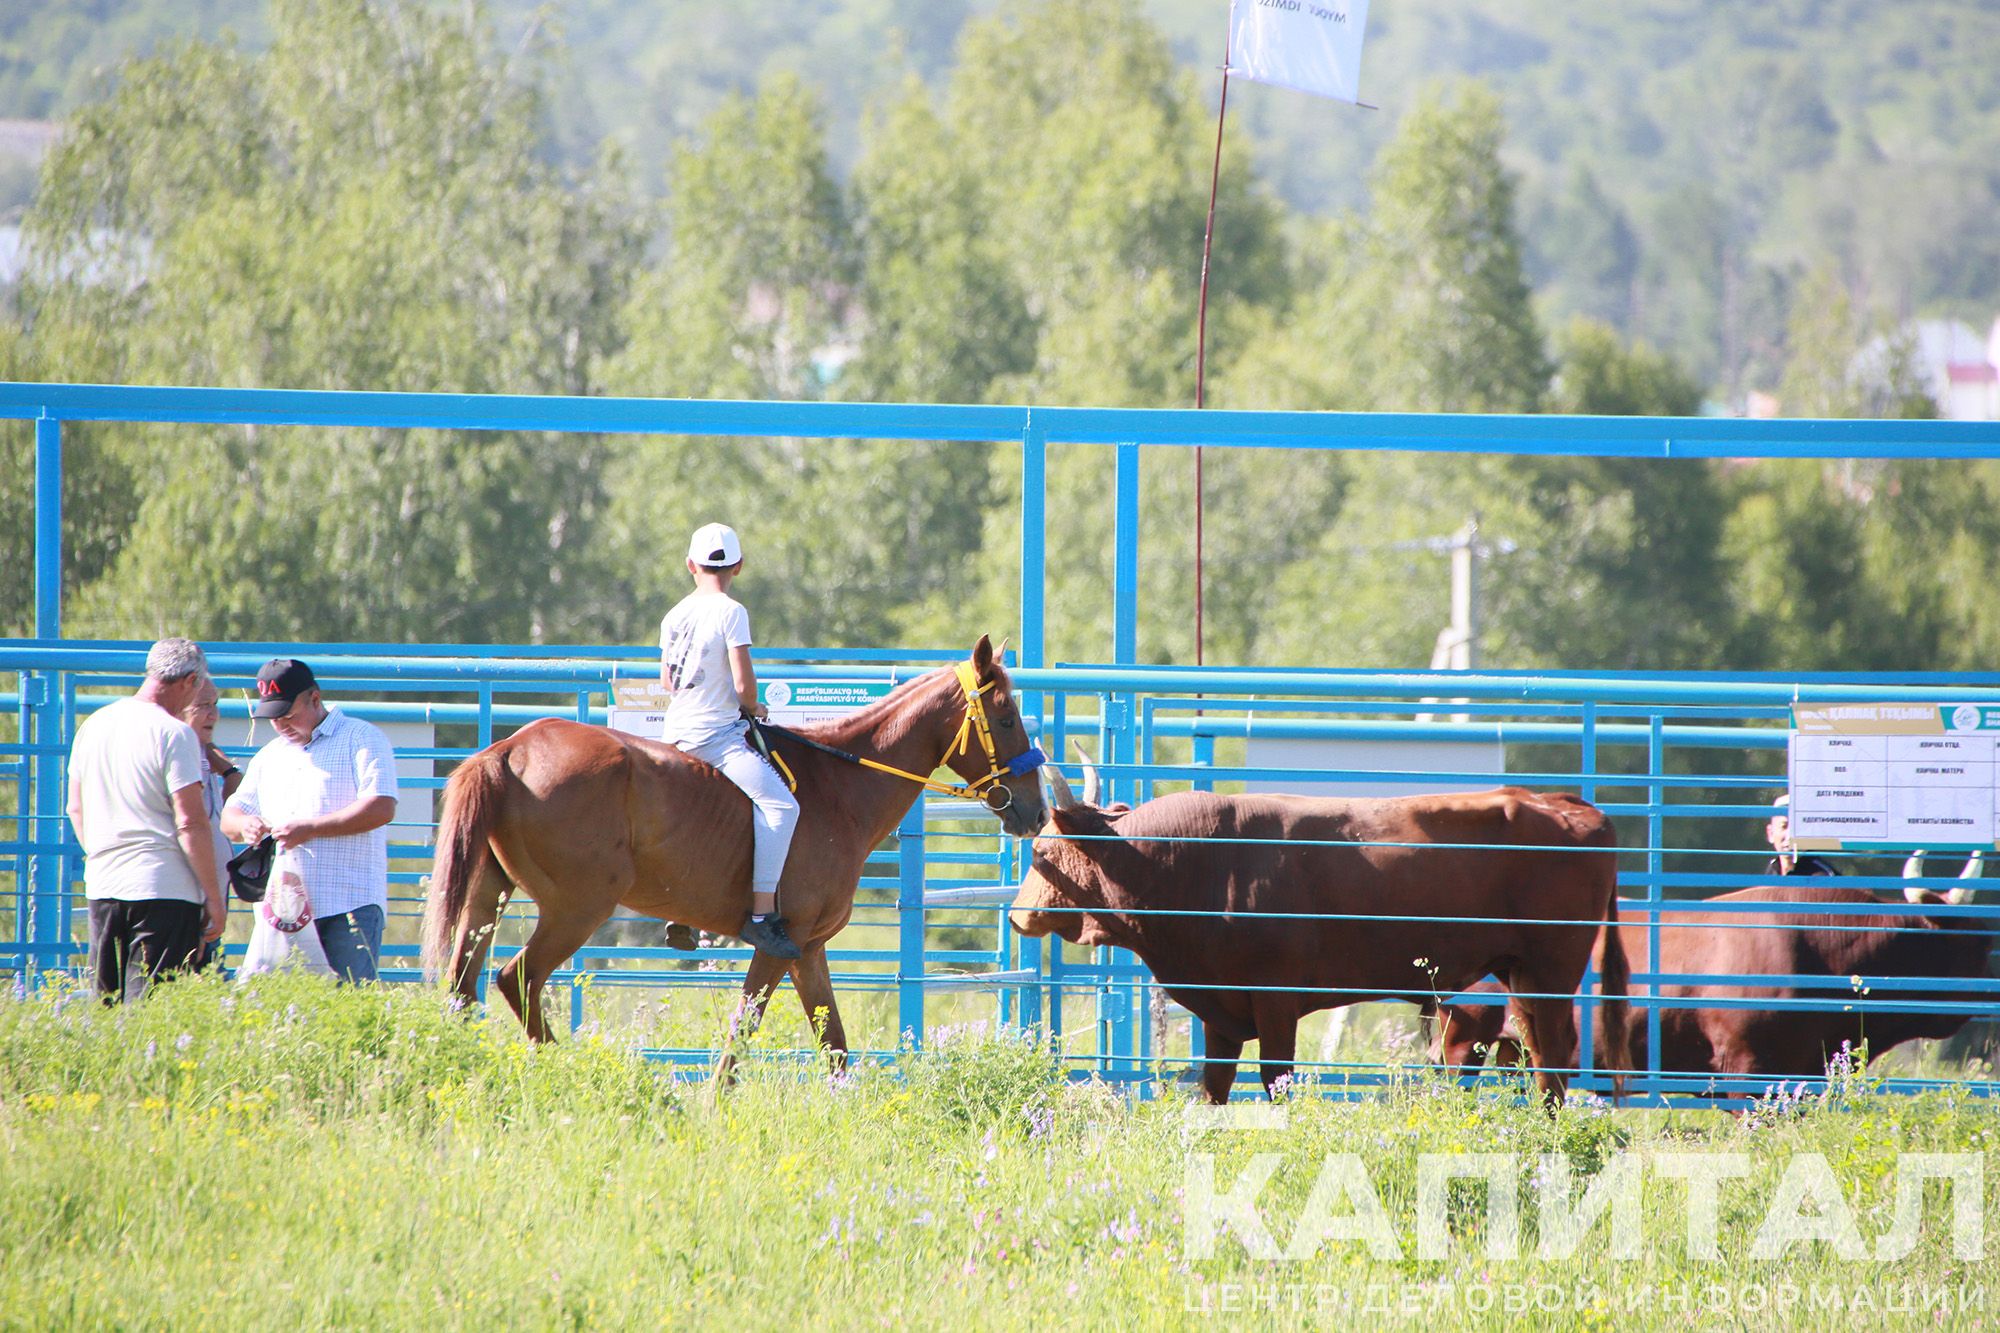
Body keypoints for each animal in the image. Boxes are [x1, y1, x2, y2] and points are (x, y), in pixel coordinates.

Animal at [422, 632, 1048, 1072]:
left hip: (489, 896)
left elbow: (834, 1046)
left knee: (463, 986)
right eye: (1006, 717)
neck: (840, 787)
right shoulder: (778, 944)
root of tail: (509, 749)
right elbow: (742, 1033)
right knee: (517, 979)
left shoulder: (808, 949)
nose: (1037, 812)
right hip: (577, 909)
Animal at [1008, 768, 1632, 1096]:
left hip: (1550, 970)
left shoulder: (1276, 1000)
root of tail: (1563, 802)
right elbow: (1214, 1084)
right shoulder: (1219, 1009)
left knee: (1554, 1051)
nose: (1016, 915)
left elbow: (1276, 1077)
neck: (1204, 860)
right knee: (1536, 1051)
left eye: (1042, 851)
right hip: (1519, 974)